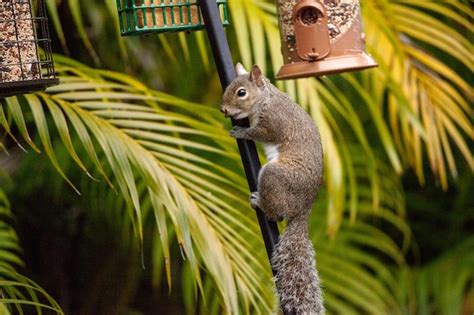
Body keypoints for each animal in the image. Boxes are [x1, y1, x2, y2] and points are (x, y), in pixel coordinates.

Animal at [220, 63, 324, 314]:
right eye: (228, 87)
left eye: (241, 93)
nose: (223, 109)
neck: (267, 98)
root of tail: (304, 209)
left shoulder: (275, 123)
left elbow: (259, 133)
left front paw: (241, 132)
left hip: (273, 176)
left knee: (276, 214)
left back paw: (259, 202)